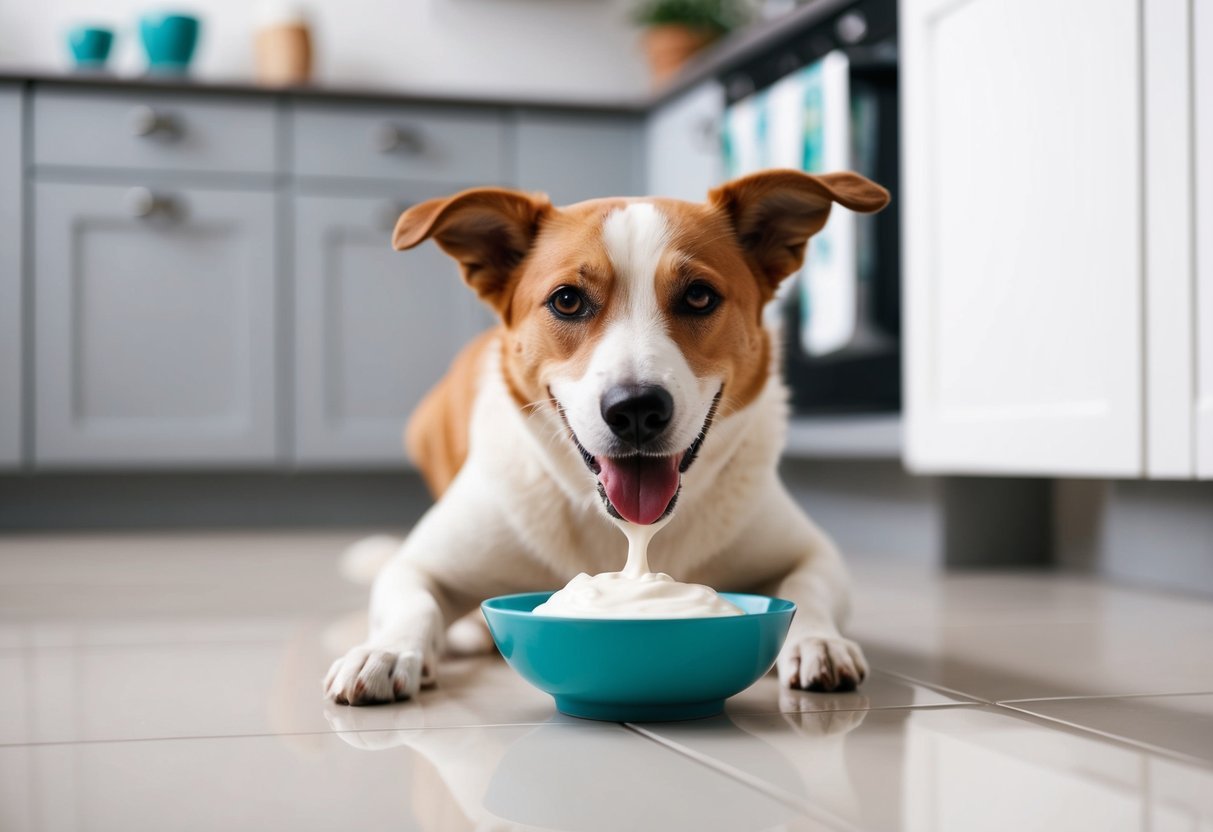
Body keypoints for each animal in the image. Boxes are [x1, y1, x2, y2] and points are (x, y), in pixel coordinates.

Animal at [322, 171, 892, 708]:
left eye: (699, 296)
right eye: (567, 301)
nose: (636, 409)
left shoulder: (811, 552)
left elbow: (806, 585)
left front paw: (819, 641)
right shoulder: (419, 564)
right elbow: (412, 598)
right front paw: (386, 650)